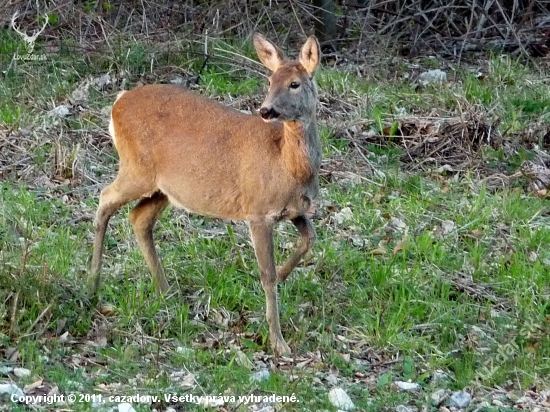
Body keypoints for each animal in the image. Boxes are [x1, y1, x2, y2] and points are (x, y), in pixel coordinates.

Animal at [90, 33, 324, 356]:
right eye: (269, 80)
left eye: (294, 83)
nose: (266, 110)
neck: (288, 164)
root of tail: (118, 101)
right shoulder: (257, 210)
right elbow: (266, 275)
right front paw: (279, 343)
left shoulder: (296, 210)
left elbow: (309, 239)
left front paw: (284, 274)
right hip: (137, 169)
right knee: (105, 198)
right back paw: (93, 283)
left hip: (165, 187)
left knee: (138, 217)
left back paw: (165, 291)